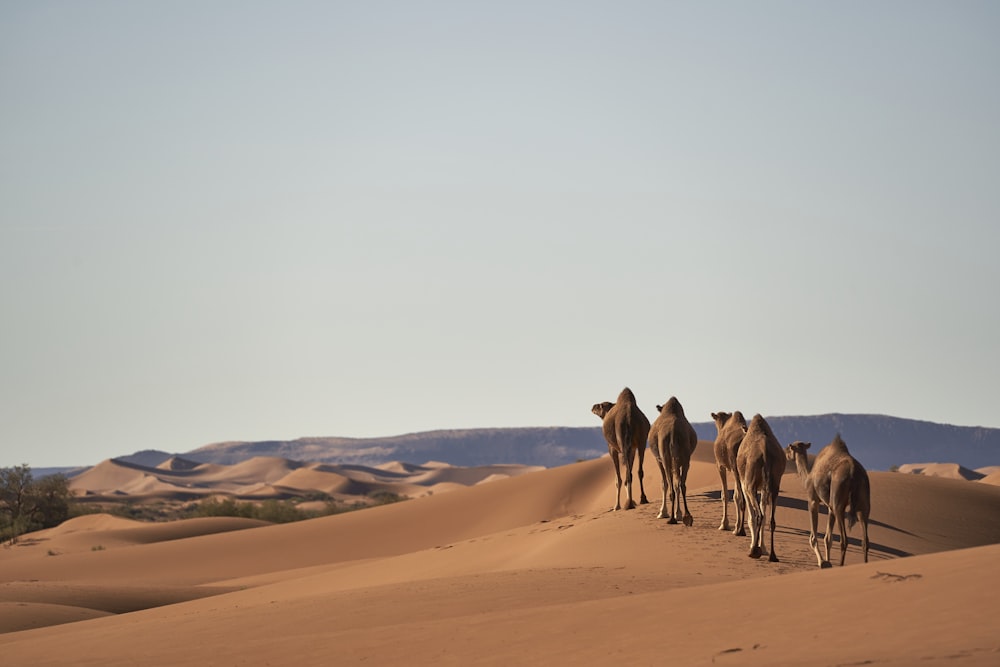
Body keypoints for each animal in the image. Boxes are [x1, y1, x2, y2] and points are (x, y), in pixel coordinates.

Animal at [648, 396, 696, 528]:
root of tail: (673, 432)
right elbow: (676, 484)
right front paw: (677, 513)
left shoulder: (658, 460)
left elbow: (664, 484)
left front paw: (662, 513)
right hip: (685, 458)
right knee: (681, 485)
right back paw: (687, 517)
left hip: (666, 458)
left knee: (671, 486)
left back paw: (672, 519)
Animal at [736, 414, 788, 560]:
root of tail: (765, 452)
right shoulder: (765, 488)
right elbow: (764, 516)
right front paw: (763, 548)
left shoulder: (745, 485)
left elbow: (751, 517)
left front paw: (755, 547)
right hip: (775, 485)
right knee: (770, 519)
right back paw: (773, 556)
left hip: (750, 486)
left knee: (758, 515)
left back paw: (753, 551)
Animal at [784, 436, 872, 572]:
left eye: (789, 448)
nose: (785, 453)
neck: (807, 476)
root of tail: (853, 472)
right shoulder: (830, 507)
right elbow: (828, 539)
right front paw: (827, 561)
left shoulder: (813, 500)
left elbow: (813, 538)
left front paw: (822, 562)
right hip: (863, 504)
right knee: (865, 540)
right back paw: (864, 564)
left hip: (838, 501)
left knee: (844, 540)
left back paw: (841, 566)